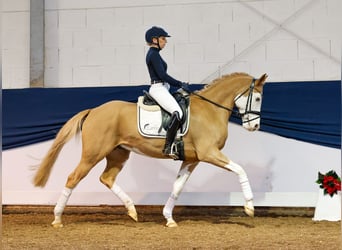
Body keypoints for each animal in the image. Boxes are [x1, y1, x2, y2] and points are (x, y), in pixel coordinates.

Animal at [32, 71, 268, 228]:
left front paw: (169, 218)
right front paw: (249, 207)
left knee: (107, 178)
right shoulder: (209, 153)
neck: (210, 110)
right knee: (73, 178)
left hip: (118, 154)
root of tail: (94, 110)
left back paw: (132, 210)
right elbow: (240, 170)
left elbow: (177, 187)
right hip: (93, 154)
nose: (254, 126)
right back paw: (57, 219)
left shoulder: (192, 159)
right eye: (257, 98)